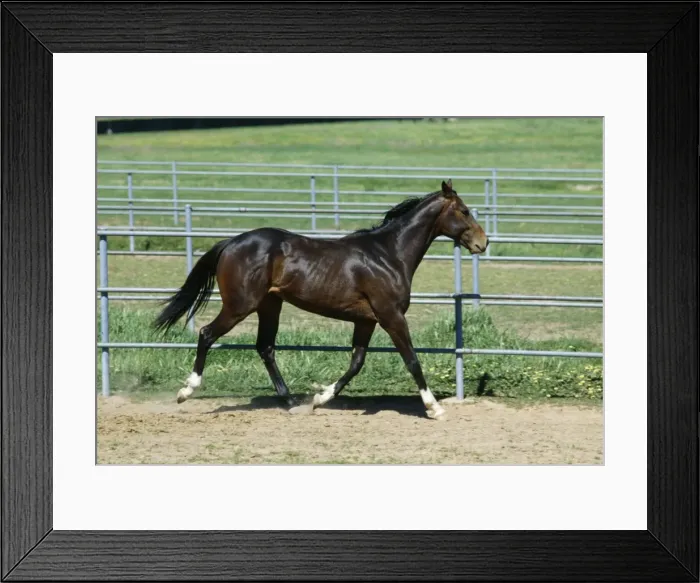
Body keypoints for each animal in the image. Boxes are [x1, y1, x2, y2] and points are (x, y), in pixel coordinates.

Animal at [154, 180, 488, 420]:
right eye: (463, 210)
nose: (482, 243)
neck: (388, 255)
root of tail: (231, 243)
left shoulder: (366, 320)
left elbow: (356, 363)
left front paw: (319, 398)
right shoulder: (391, 316)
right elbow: (413, 361)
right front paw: (435, 408)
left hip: (269, 305)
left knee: (265, 347)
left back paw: (291, 401)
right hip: (240, 305)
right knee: (207, 333)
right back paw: (186, 391)